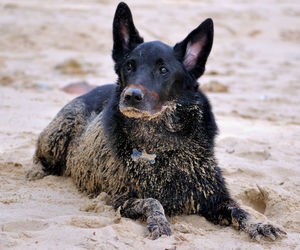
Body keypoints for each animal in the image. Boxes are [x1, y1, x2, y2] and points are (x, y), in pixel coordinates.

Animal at [27, 1, 286, 240]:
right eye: (129, 66)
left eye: (163, 70)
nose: (131, 96)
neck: (160, 141)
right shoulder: (118, 198)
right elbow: (152, 200)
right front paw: (159, 223)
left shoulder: (214, 197)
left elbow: (240, 211)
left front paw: (259, 224)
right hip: (60, 132)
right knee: (40, 154)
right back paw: (37, 170)